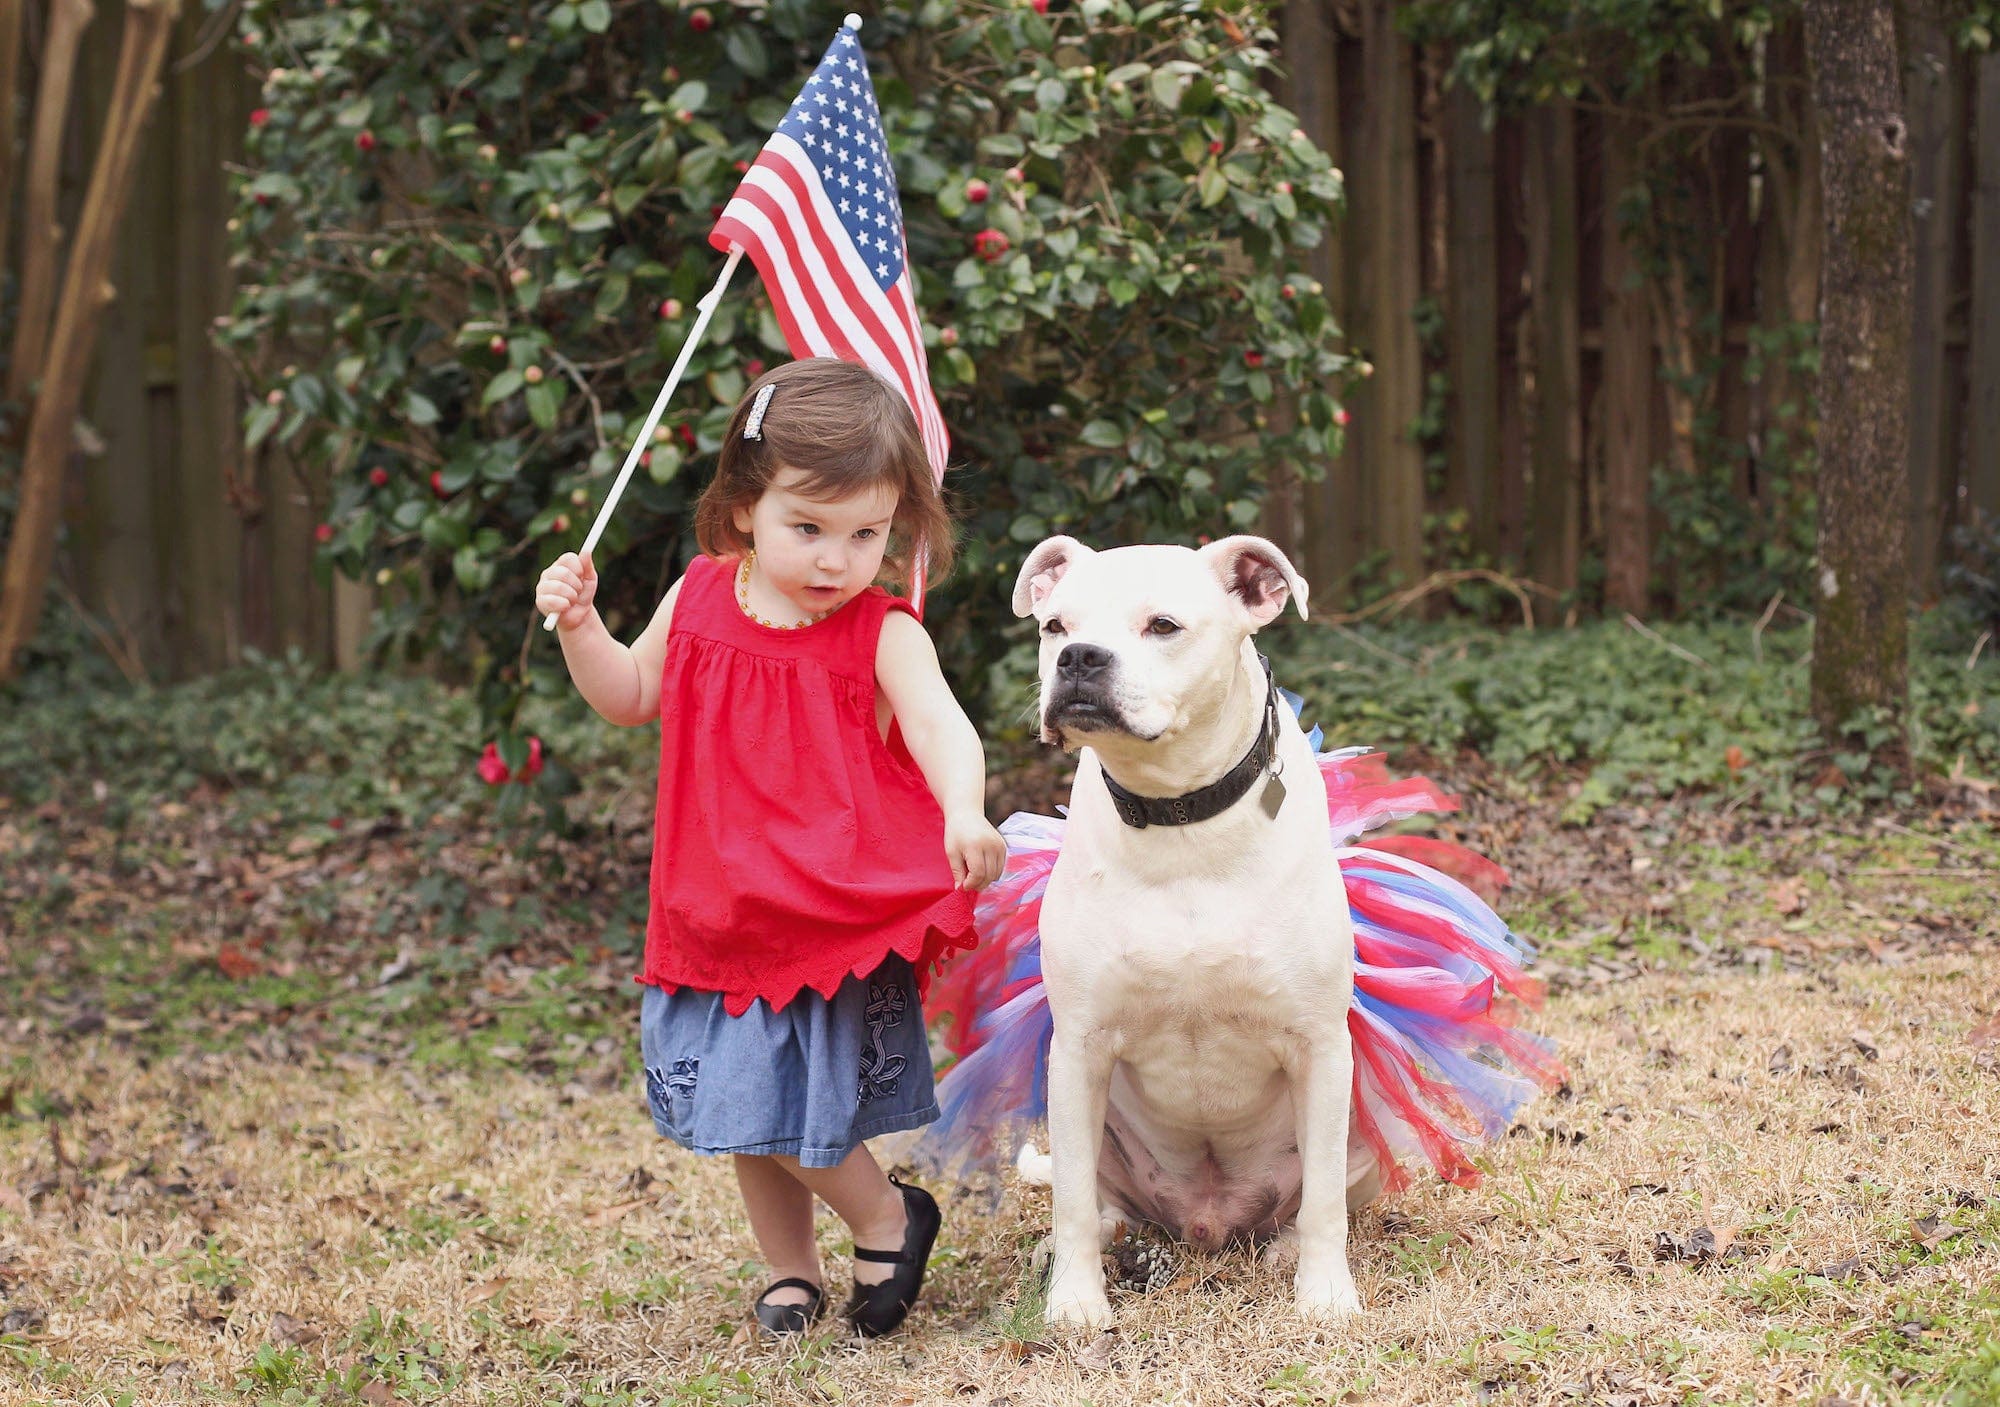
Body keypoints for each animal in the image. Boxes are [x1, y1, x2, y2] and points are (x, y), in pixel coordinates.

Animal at [1016, 531, 1360, 1327]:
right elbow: (1071, 1197)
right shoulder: (1078, 1048)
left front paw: (1327, 1297)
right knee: (1094, 1196)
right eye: (1053, 626)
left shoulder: (1321, 1043)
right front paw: (1075, 1304)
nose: (1079, 657)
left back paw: (1286, 1252)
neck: (1179, 815)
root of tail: (1208, 1219)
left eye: (1163, 625)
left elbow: (1327, 1198)